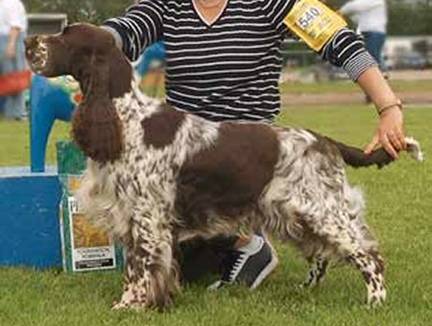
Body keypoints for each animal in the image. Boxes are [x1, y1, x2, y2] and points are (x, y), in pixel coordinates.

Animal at [24, 23, 422, 310]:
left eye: (64, 35)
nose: (28, 41)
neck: (126, 118)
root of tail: (326, 142)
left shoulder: (146, 217)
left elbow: (140, 268)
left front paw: (129, 307)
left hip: (324, 211)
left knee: (368, 255)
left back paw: (375, 302)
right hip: (298, 216)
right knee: (323, 256)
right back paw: (304, 291)